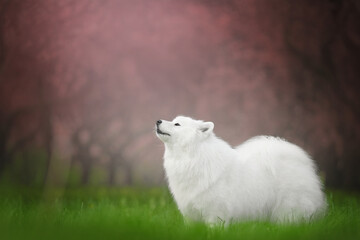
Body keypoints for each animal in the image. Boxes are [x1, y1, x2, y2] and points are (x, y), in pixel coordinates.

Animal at [155, 115, 326, 224]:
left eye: (177, 124)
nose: (158, 121)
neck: (191, 156)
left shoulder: (216, 212)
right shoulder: (190, 214)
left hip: (289, 208)